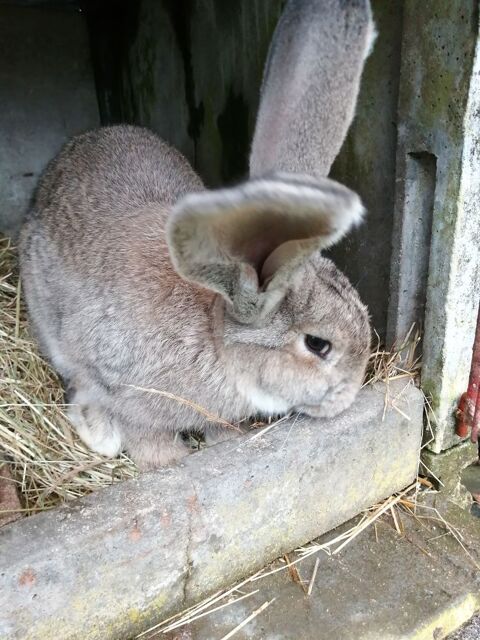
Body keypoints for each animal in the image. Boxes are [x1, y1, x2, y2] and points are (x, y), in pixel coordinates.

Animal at [19, 0, 376, 470]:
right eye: (318, 344)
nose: (350, 397)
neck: (215, 332)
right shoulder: (120, 385)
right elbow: (141, 433)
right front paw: (164, 460)